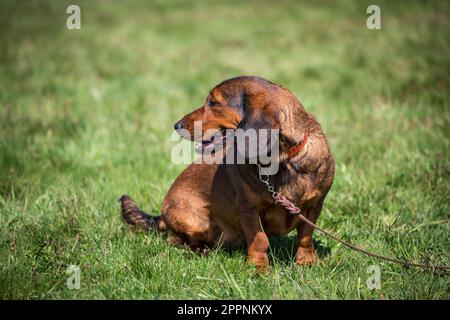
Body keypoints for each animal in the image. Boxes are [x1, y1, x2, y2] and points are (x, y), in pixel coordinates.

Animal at [119, 76, 334, 272]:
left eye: (213, 102)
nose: (177, 125)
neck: (282, 161)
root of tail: (162, 216)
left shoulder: (314, 206)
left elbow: (305, 236)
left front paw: (307, 262)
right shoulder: (249, 209)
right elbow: (259, 240)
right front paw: (258, 267)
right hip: (194, 220)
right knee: (176, 241)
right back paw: (200, 250)